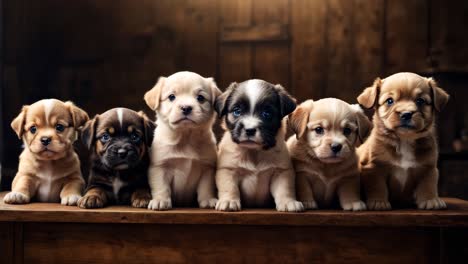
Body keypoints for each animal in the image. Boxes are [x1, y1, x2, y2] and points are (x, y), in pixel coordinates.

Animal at [144, 70, 221, 210]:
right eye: (171, 97)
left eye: (200, 98)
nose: (186, 107)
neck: (186, 138)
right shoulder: (159, 167)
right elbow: (161, 186)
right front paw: (160, 200)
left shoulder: (207, 168)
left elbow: (206, 187)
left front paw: (207, 199)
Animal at [215, 79, 306, 211]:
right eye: (237, 111)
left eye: (266, 114)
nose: (249, 130)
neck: (254, 152)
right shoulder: (227, 170)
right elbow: (229, 187)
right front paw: (228, 201)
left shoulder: (281, 172)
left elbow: (284, 189)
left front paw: (288, 202)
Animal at [358, 72, 450, 210]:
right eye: (389, 101)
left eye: (420, 101)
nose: (406, 114)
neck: (405, 139)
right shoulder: (374, 168)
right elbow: (377, 187)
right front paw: (378, 202)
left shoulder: (428, 168)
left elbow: (428, 185)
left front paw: (430, 200)